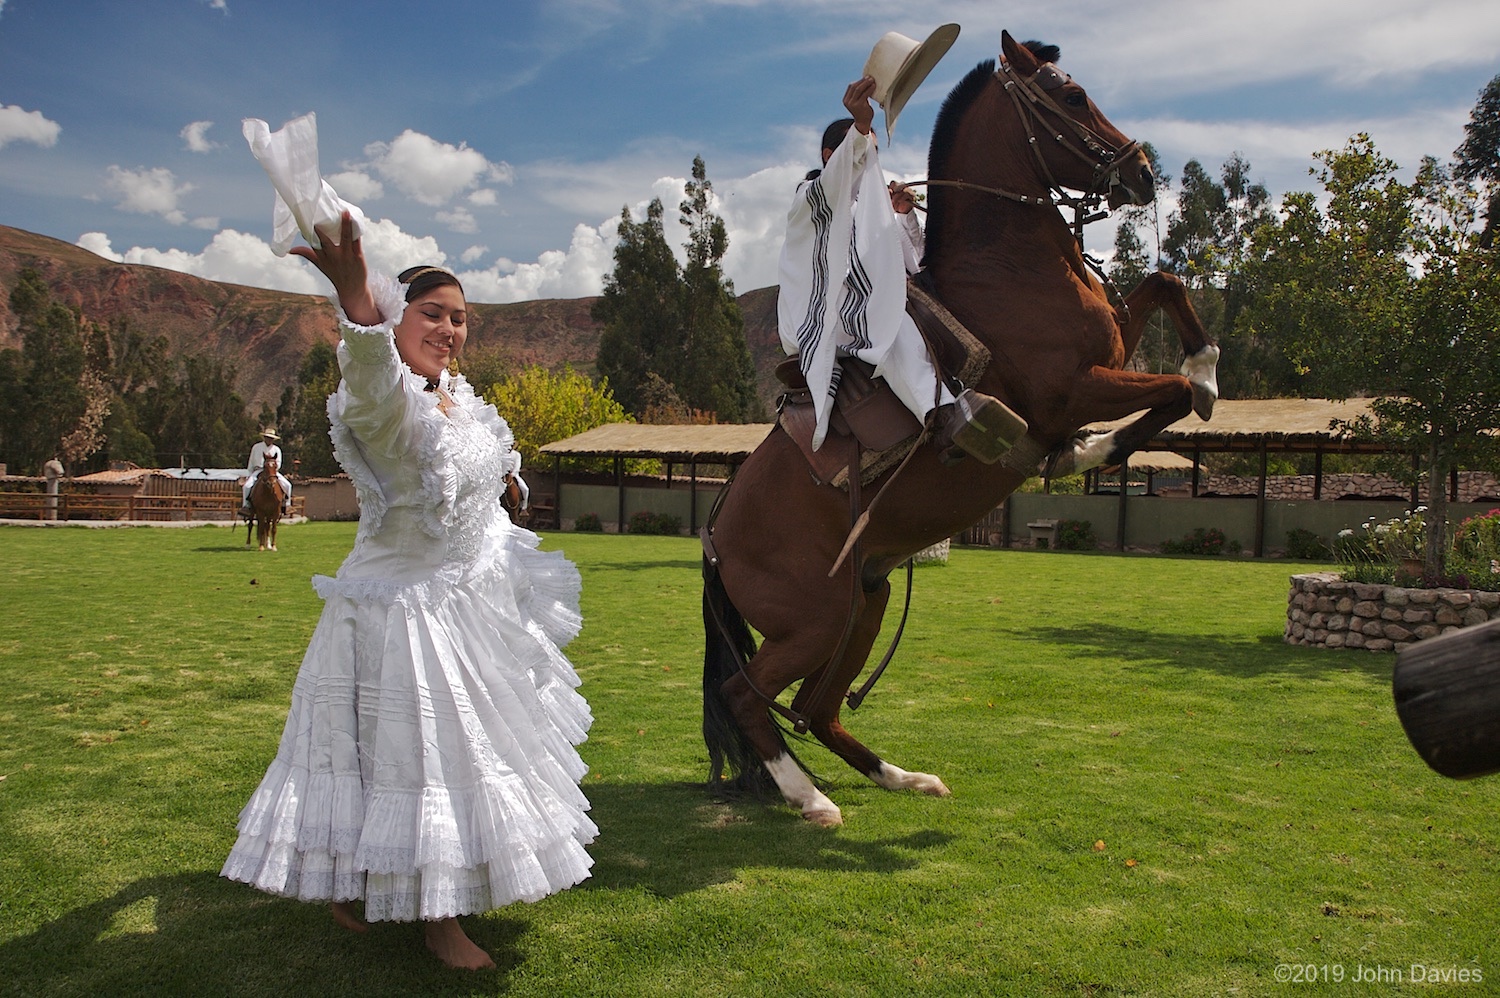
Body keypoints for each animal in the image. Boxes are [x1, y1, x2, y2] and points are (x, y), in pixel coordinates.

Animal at [702, 33, 1218, 822]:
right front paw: (1106, 441)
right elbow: (1179, 392)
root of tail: (718, 528)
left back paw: (902, 777)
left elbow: (1167, 288)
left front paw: (1198, 361)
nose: (1140, 170)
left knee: (818, 709)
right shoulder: (1076, 388)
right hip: (815, 617)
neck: (1009, 267)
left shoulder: (1108, 351)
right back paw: (811, 799)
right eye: (1073, 96)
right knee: (748, 696)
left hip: (865, 602)